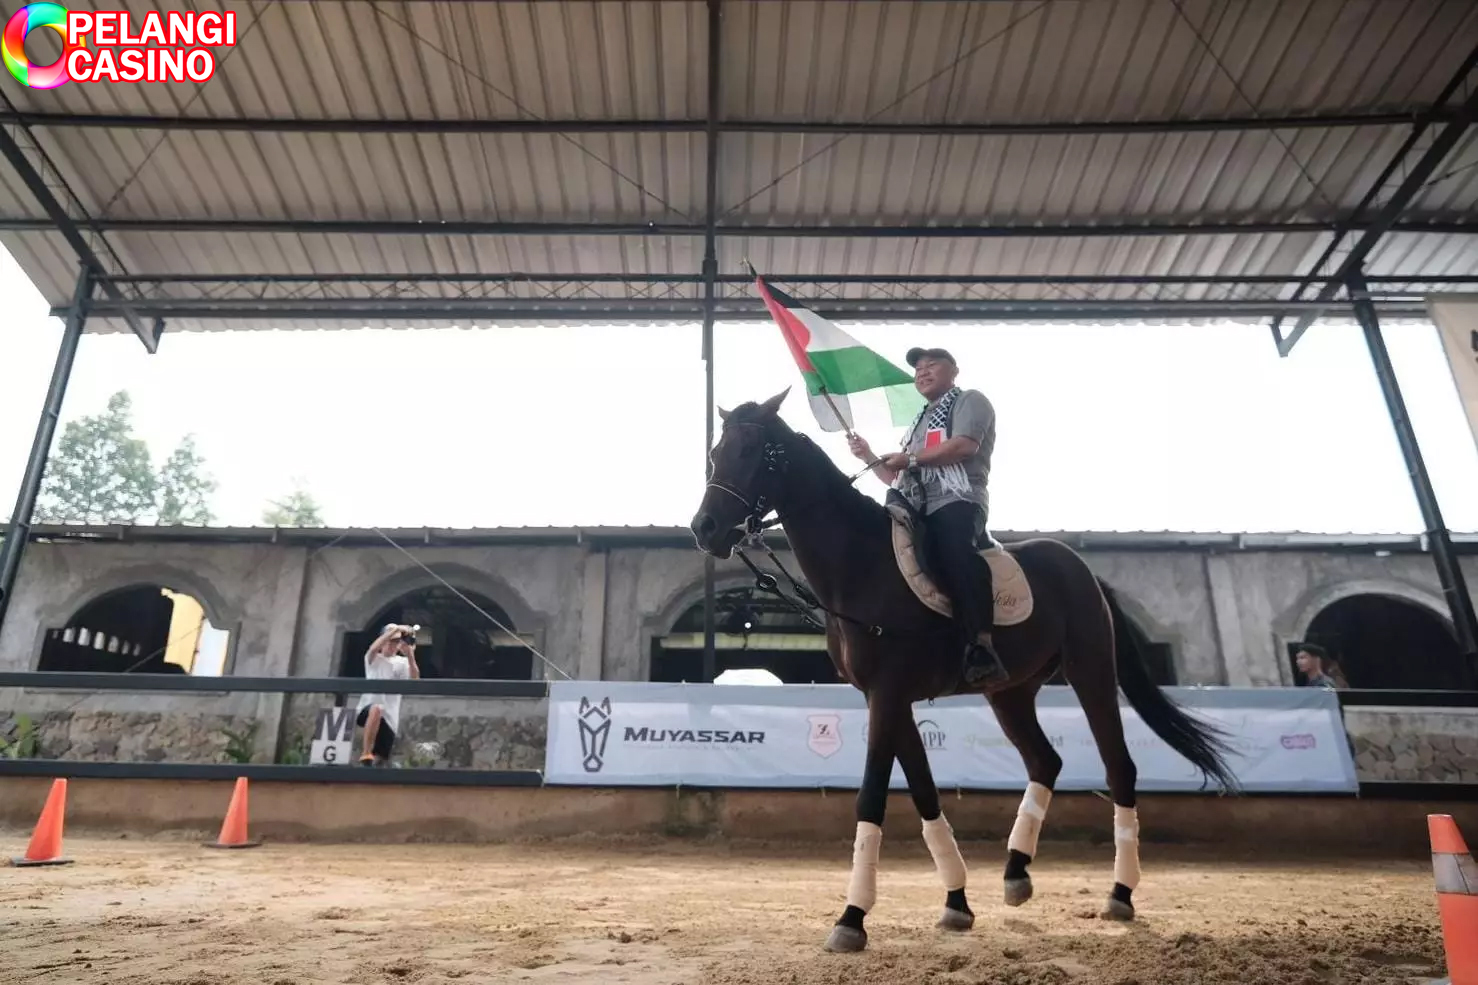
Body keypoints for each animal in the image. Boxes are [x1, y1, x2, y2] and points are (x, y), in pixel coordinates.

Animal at [691, 390, 1235, 952]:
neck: (861, 568)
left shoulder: (887, 694)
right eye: (716, 451)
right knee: (1045, 762)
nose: (704, 528)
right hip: (1010, 692)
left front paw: (852, 918)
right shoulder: (886, 697)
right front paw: (956, 901)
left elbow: (872, 797)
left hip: (1092, 674)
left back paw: (1121, 893)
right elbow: (925, 793)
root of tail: (1077, 565)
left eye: (751, 450)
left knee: (1119, 767)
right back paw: (1016, 873)